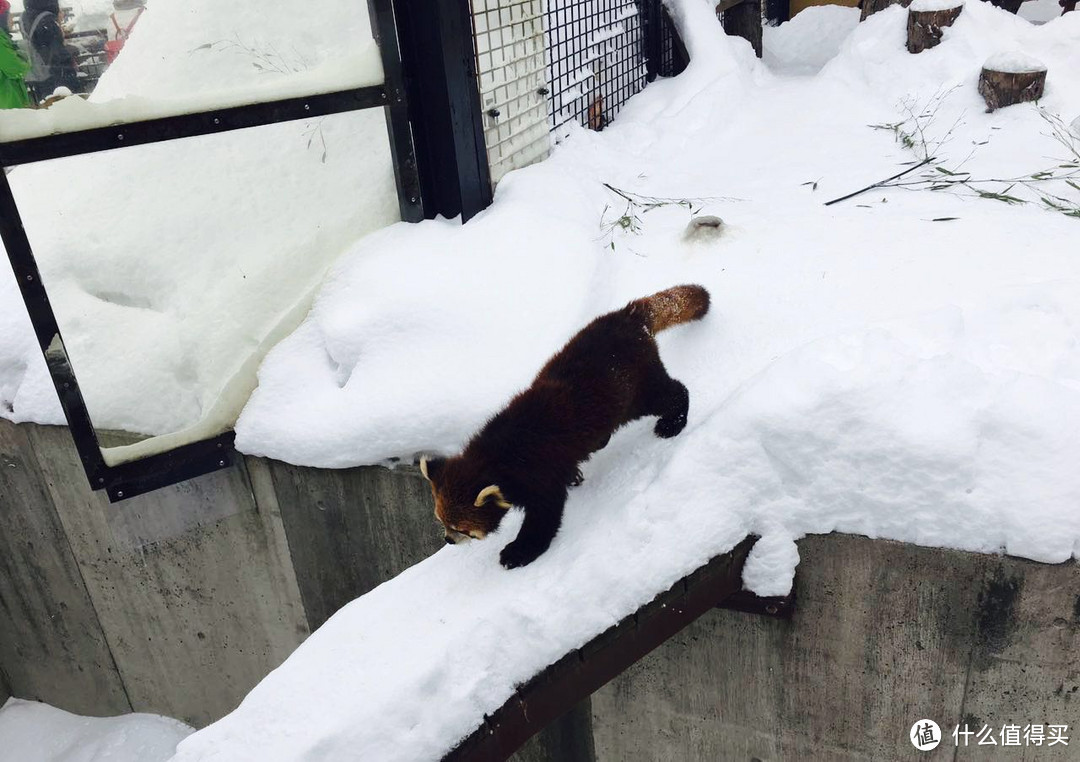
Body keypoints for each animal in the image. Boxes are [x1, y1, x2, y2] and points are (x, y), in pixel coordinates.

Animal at [419, 282, 708, 565]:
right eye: (441, 520)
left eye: (462, 528)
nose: (448, 540)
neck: (495, 458)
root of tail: (625, 315)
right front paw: (574, 477)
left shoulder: (538, 472)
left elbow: (545, 513)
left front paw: (518, 552)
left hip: (635, 388)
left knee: (667, 395)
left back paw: (673, 421)